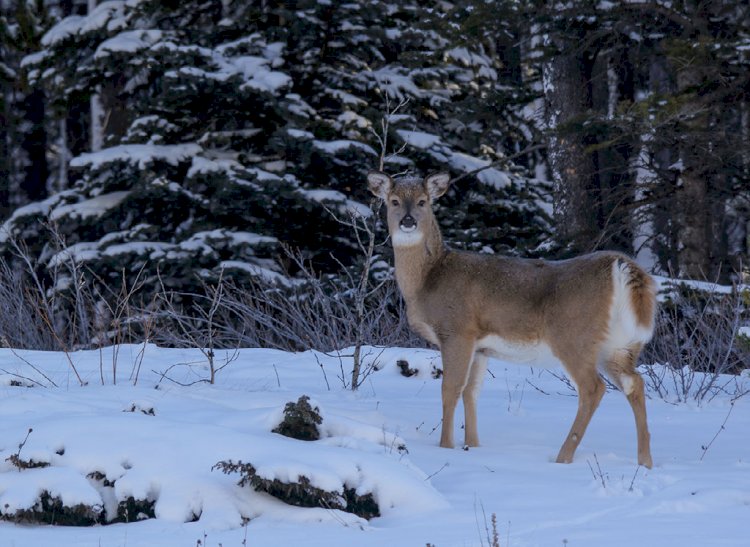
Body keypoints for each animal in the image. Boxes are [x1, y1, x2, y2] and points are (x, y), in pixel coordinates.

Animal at [368, 170, 656, 466]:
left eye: (423, 202)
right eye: (394, 201)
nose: (408, 221)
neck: (427, 280)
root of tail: (621, 266)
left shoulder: (457, 330)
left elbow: (451, 389)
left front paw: (445, 446)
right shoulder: (480, 346)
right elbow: (472, 392)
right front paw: (472, 445)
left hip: (573, 336)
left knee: (593, 388)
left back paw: (563, 457)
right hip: (620, 345)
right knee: (635, 383)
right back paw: (645, 461)